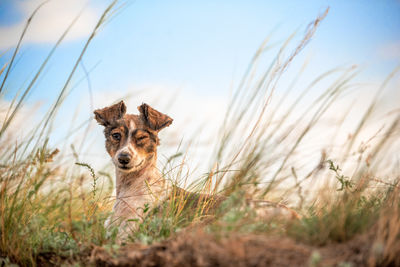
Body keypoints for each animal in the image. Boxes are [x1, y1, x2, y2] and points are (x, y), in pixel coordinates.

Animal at [94, 101, 300, 238]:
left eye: (142, 138)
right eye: (116, 135)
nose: (124, 158)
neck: (132, 188)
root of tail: (295, 215)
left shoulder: (126, 234)